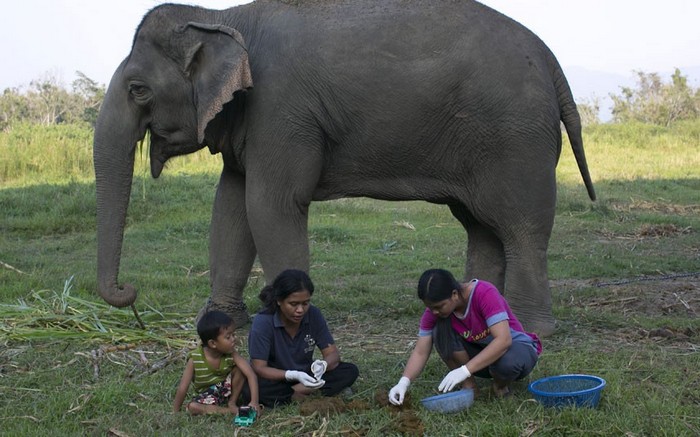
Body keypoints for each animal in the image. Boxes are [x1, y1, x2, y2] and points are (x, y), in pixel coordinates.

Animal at [93, 0, 596, 338]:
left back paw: (532, 328)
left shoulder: (281, 110)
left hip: (516, 138)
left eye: (138, 89)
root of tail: (550, 58)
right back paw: (474, 310)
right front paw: (220, 322)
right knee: (481, 225)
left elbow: (271, 205)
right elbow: (231, 207)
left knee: (521, 226)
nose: (129, 292)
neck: (225, 18)